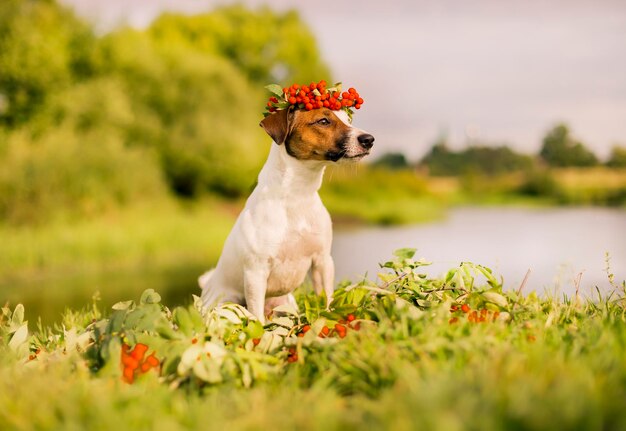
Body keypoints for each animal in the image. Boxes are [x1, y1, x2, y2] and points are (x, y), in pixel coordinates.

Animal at [199, 106, 370, 322]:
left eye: (348, 120)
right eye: (323, 121)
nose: (369, 139)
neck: (297, 195)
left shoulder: (322, 261)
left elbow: (327, 298)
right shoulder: (256, 272)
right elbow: (257, 318)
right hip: (227, 302)